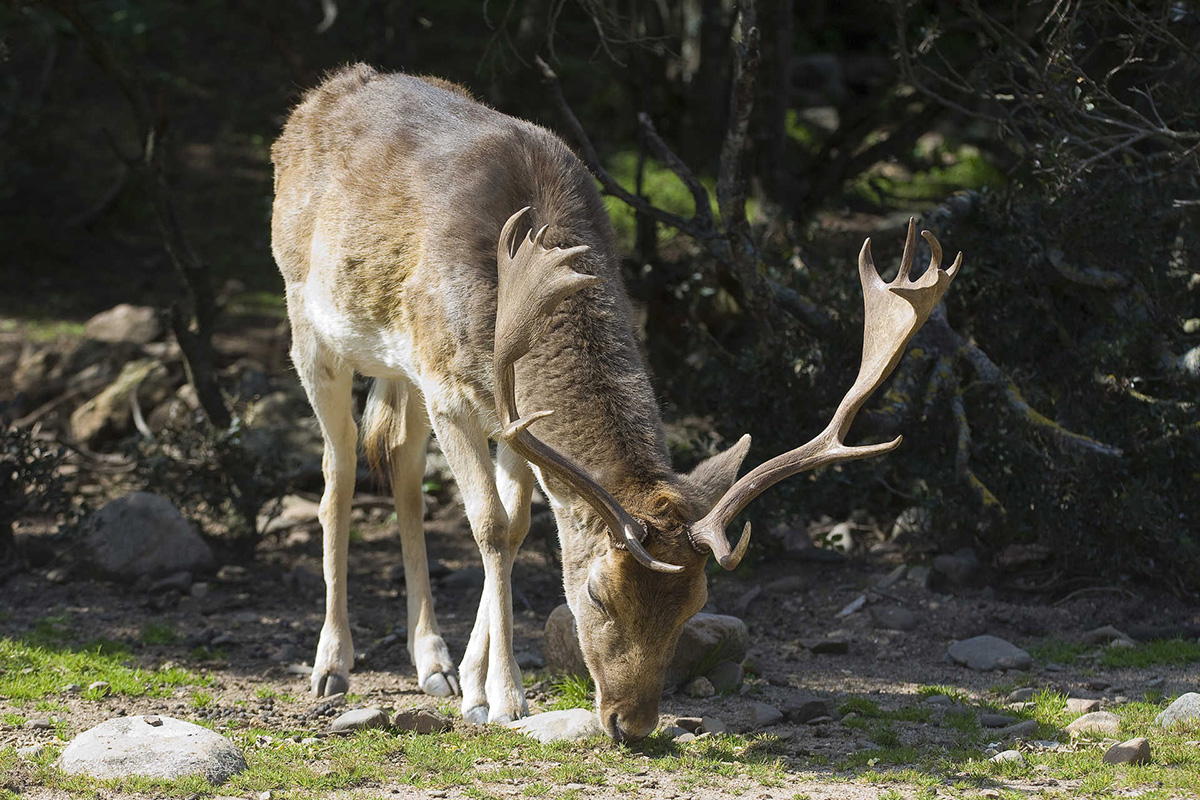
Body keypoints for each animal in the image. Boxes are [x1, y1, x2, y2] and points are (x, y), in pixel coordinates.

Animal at [272, 64, 964, 743]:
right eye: (598, 596)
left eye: (696, 604)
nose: (632, 724)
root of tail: (316, 97)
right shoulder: (449, 388)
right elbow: (490, 526)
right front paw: (503, 699)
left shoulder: (507, 416)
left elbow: (518, 527)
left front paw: (471, 681)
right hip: (309, 323)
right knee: (338, 471)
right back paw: (331, 665)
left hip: (400, 370)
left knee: (402, 466)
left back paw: (432, 664)